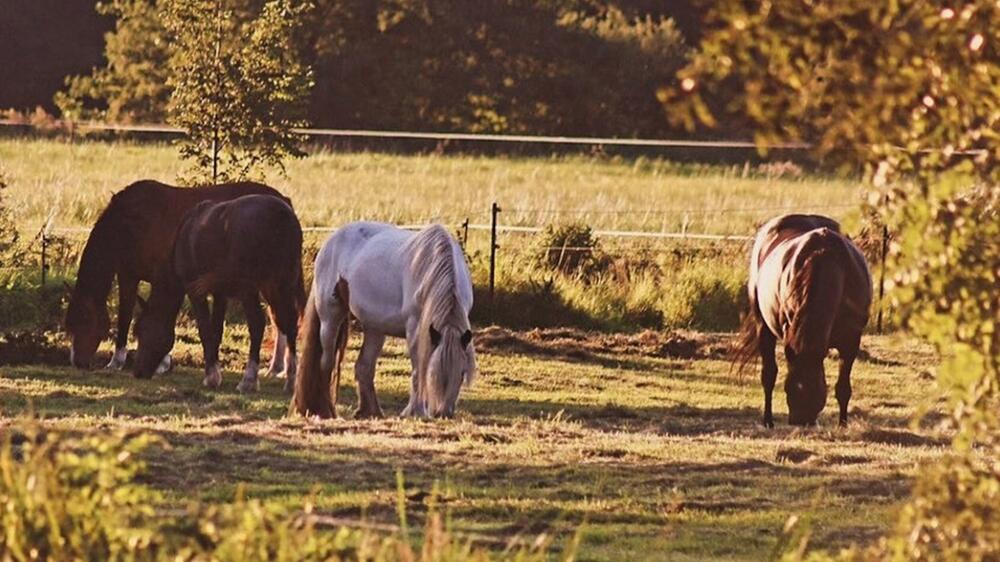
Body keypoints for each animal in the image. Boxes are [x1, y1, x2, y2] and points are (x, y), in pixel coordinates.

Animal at [64, 179, 292, 372]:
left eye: (85, 321)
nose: (77, 362)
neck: (131, 223)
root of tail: (283, 202)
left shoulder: (160, 278)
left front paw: (161, 363)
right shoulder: (128, 276)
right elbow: (125, 315)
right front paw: (116, 362)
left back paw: (278, 368)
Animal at [133, 192, 304, 390]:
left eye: (142, 330)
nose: (138, 372)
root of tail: (281, 216)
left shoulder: (195, 291)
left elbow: (205, 329)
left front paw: (211, 377)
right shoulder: (220, 294)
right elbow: (216, 331)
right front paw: (214, 372)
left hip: (251, 290)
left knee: (257, 324)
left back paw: (248, 380)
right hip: (279, 286)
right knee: (289, 324)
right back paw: (291, 380)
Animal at [290, 221, 476, 418]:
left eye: (462, 373)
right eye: (433, 373)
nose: (443, 413)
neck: (431, 267)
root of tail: (331, 240)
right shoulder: (415, 329)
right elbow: (418, 369)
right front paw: (414, 411)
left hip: (375, 328)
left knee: (364, 366)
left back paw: (370, 412)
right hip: (330, 317)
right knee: (326, 364)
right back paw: (326, 410)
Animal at [732, 214, 872, 424]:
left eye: (816, 390)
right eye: (789, 388)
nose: (800, 420)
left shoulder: (851, 340)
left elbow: (843, 388)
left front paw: (843, 423)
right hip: (763, 326)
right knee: (768, 375)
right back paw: (768, 420)